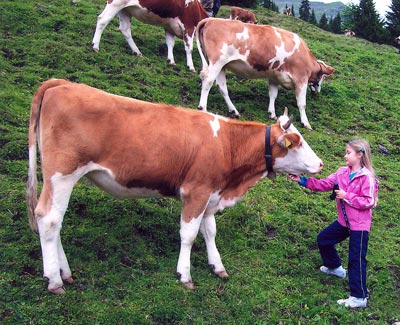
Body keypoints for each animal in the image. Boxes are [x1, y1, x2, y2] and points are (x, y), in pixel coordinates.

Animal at [27, 79, 322, 294]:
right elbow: (189, 234)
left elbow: (210, 231)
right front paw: (185, 274)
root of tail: (61, 83)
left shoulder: (212, 195)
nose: (320, 164)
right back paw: (54, 279)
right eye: (298, 143)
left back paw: (64, 272)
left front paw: (217, 266)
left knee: (53, 221)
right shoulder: (196, 191)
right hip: (62, 173)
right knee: (49, 219)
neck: (227, 144)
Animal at [197, 18, 334, 129]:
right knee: (208, 80)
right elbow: (301, 103)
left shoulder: (274, 76)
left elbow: (273, 94)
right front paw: (306, 123)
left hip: (222, 65)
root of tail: (211, 19)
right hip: (217, 61)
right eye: (322, 77)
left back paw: (233, 111)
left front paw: (272, 113)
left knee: (221, 86)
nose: (317, 92)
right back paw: (203, 108)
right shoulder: (301, 79)